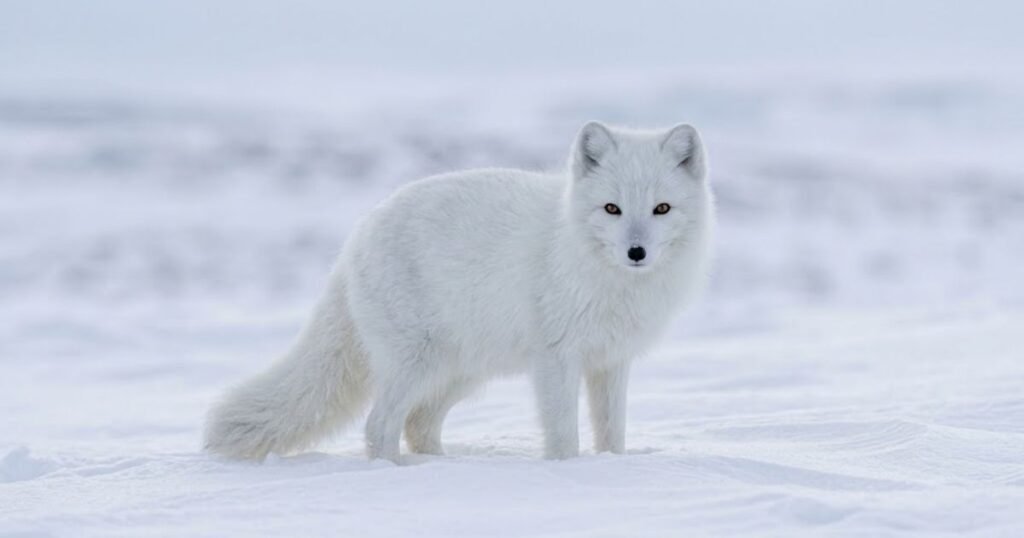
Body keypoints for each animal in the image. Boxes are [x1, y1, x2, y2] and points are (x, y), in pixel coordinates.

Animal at [204, 121, 714, 462]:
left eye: (661, 208)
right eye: (612, 208)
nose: (636, 252)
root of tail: (357, 237)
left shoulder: (611, 361)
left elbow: (612, 432)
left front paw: (614, 469)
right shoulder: (556, 358)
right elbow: (564, 435)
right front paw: (566, 472)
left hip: (460, 369)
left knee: (417, 423)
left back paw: (441, 469)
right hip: (418, 363)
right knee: (380, 424)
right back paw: (393, 472)